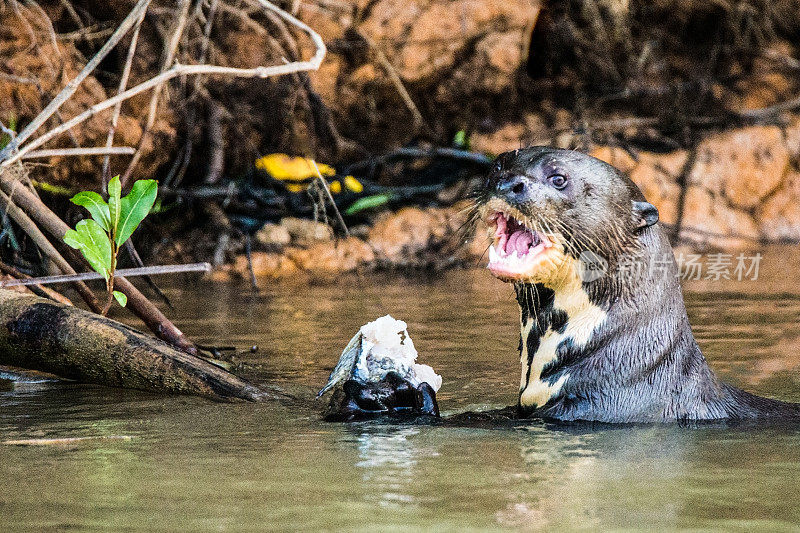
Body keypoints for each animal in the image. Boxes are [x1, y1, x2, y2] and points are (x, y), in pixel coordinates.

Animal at [328, 148, 800, 422]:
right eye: (497, 166)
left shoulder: (596, 410)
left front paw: (401, 397)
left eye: (558, 179)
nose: (507, 183)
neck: (623, 366)